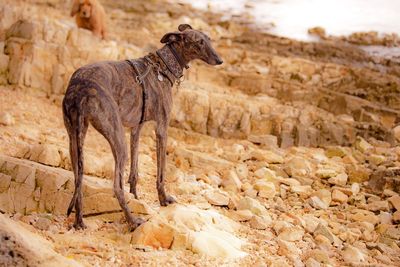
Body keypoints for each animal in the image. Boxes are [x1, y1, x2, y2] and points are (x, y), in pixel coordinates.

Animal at [64, 24, 223, 231]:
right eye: (199, 42)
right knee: (116, 187)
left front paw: (136, 196)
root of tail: (80, 88)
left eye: (209, 39)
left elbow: (134, 170)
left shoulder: (136, 129)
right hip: (117, 139)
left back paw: (79, 222)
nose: (220, 60)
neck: (162, 67)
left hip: (75, 139)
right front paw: (163, 199)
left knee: (78, 180)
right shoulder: (162, 128)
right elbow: (161, 172)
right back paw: (133, 221)